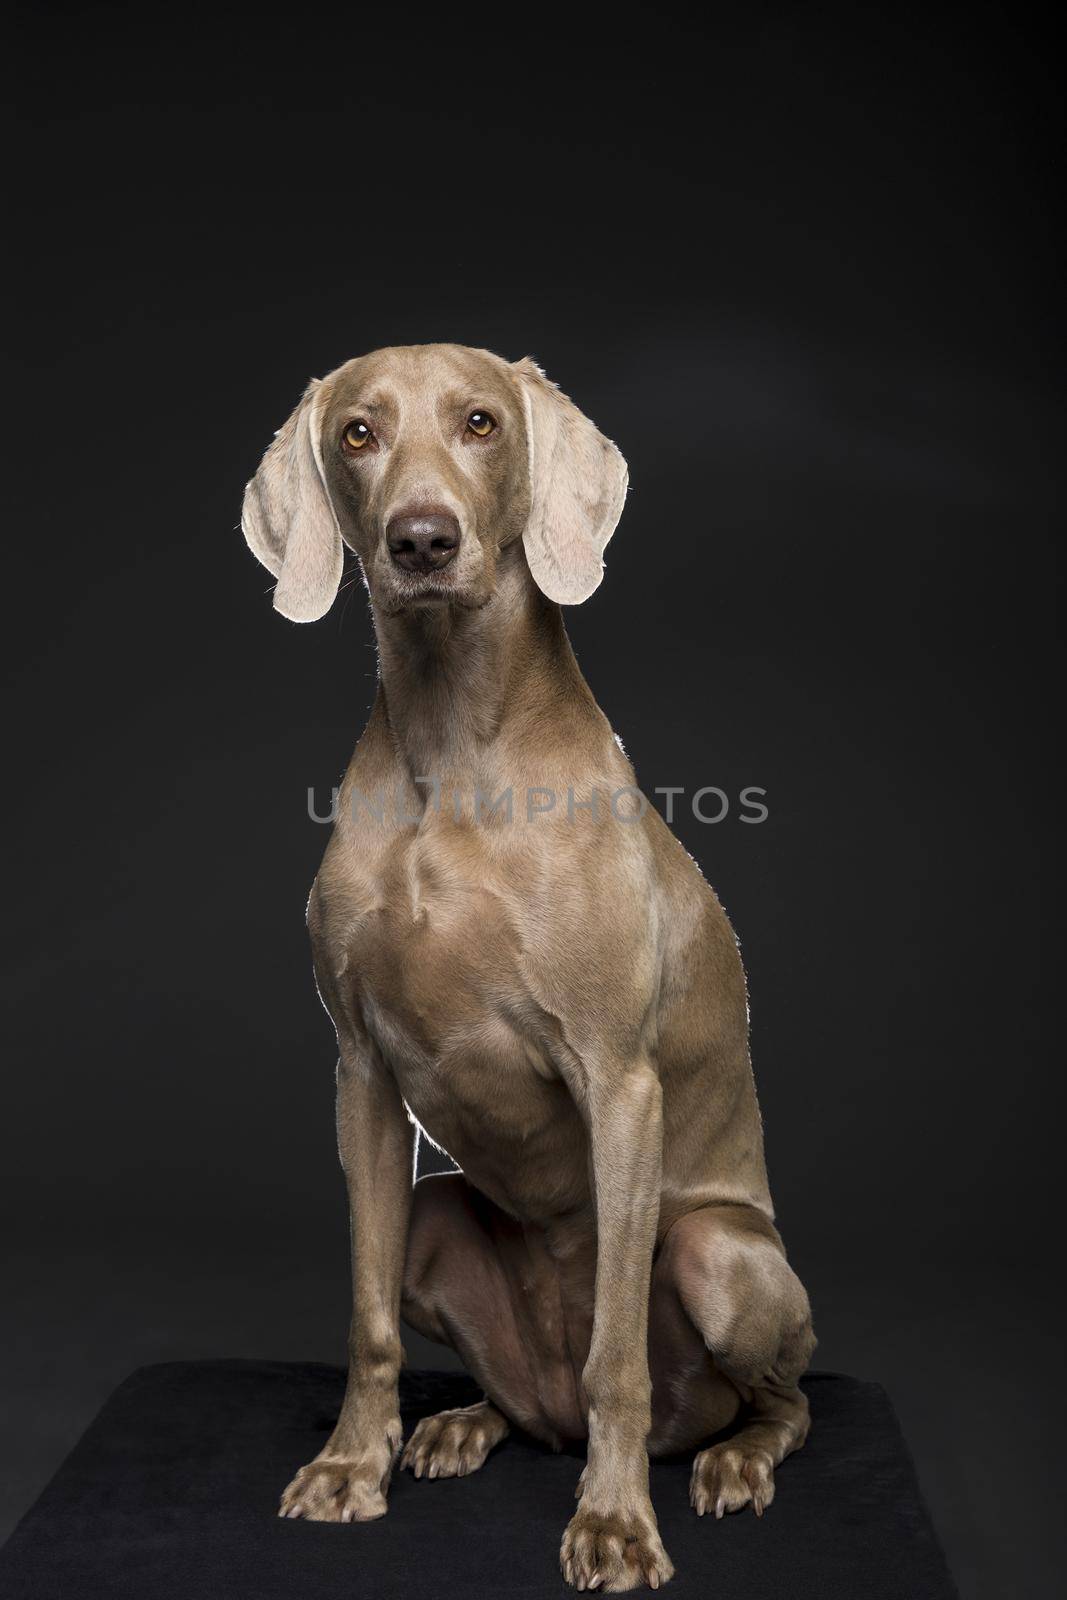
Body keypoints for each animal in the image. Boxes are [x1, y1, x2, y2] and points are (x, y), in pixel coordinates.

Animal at [241, 344, 819, 1593]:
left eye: (480, 423)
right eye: (357, 432)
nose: (419, 540)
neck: (453, 738)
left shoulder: (619, 1081)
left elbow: (615, 1359)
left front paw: (612, 1524)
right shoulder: (359, 1073)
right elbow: (364, 1318)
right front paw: (350, 1465)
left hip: (719, 1254)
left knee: (764, 1398)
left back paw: (728, 1462)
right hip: (438, 1217)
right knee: (530, 1401)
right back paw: (462, 1425)